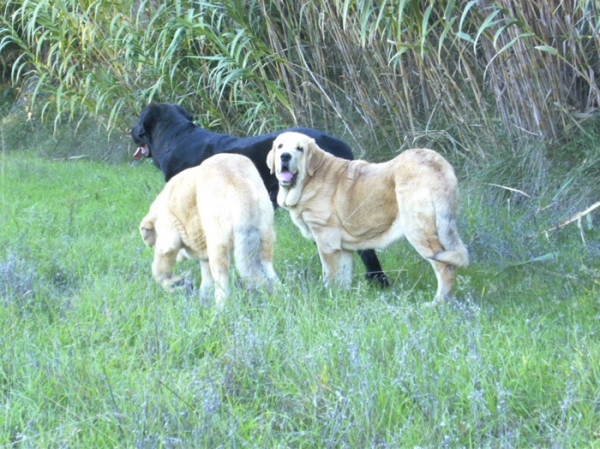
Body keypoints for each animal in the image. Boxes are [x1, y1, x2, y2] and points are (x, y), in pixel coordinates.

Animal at [141, 152, 278, 306]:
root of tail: (236, 182)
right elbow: (206, 279)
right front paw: (202, 298)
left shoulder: (168, 237)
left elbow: (159, 271)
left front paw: (176, 285)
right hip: (265, 236)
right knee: (268, 268)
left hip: (218, 244)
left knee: (221, 277)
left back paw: (220, 307)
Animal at [268, 132, 468, 300]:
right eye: (280, 146)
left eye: (300, 149)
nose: (285, 156)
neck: (309, 179)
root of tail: (435, 164)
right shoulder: (344, 248)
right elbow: (344, 276)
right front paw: (342, 299)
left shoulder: (326, 242)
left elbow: (330, 275)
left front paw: (329, 297)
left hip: (420, 232)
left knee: (445, 268)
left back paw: (439, 303)